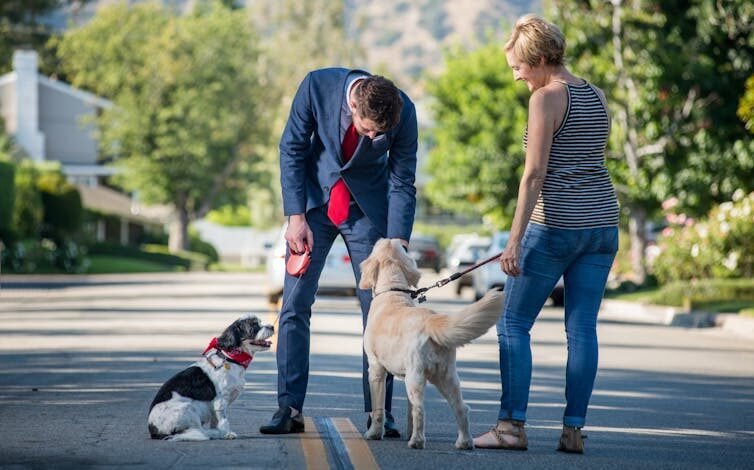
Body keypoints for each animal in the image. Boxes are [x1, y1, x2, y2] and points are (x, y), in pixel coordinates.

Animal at [360, 241, 502, 450]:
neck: (392, 291)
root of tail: (431, 320)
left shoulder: (376, 368)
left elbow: (379, 409)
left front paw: (374, 433)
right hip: (446, 376)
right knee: (461, 408)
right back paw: (464, 442)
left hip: (416, 376)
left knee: (420, 409)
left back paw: (417, 441)